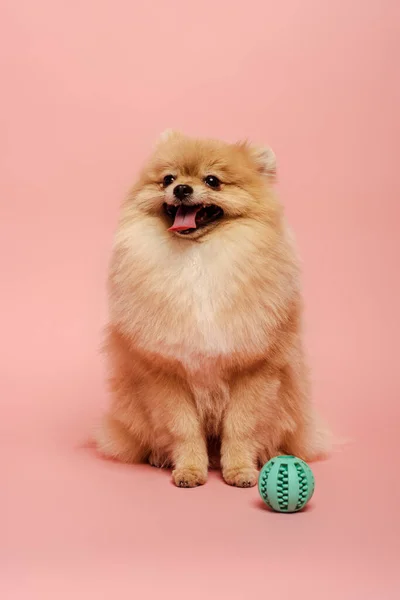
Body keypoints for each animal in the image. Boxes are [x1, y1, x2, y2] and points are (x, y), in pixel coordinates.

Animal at [96, 129, 328, 486]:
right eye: (168, 178)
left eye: (212, 181)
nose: (181, 189)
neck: (198, 258)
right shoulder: (167, 371)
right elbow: (183, 429)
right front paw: (190, 470)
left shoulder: (254, 369)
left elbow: (241, 426)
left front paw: (240, 470)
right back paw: (160, 457)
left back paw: (267, 455)